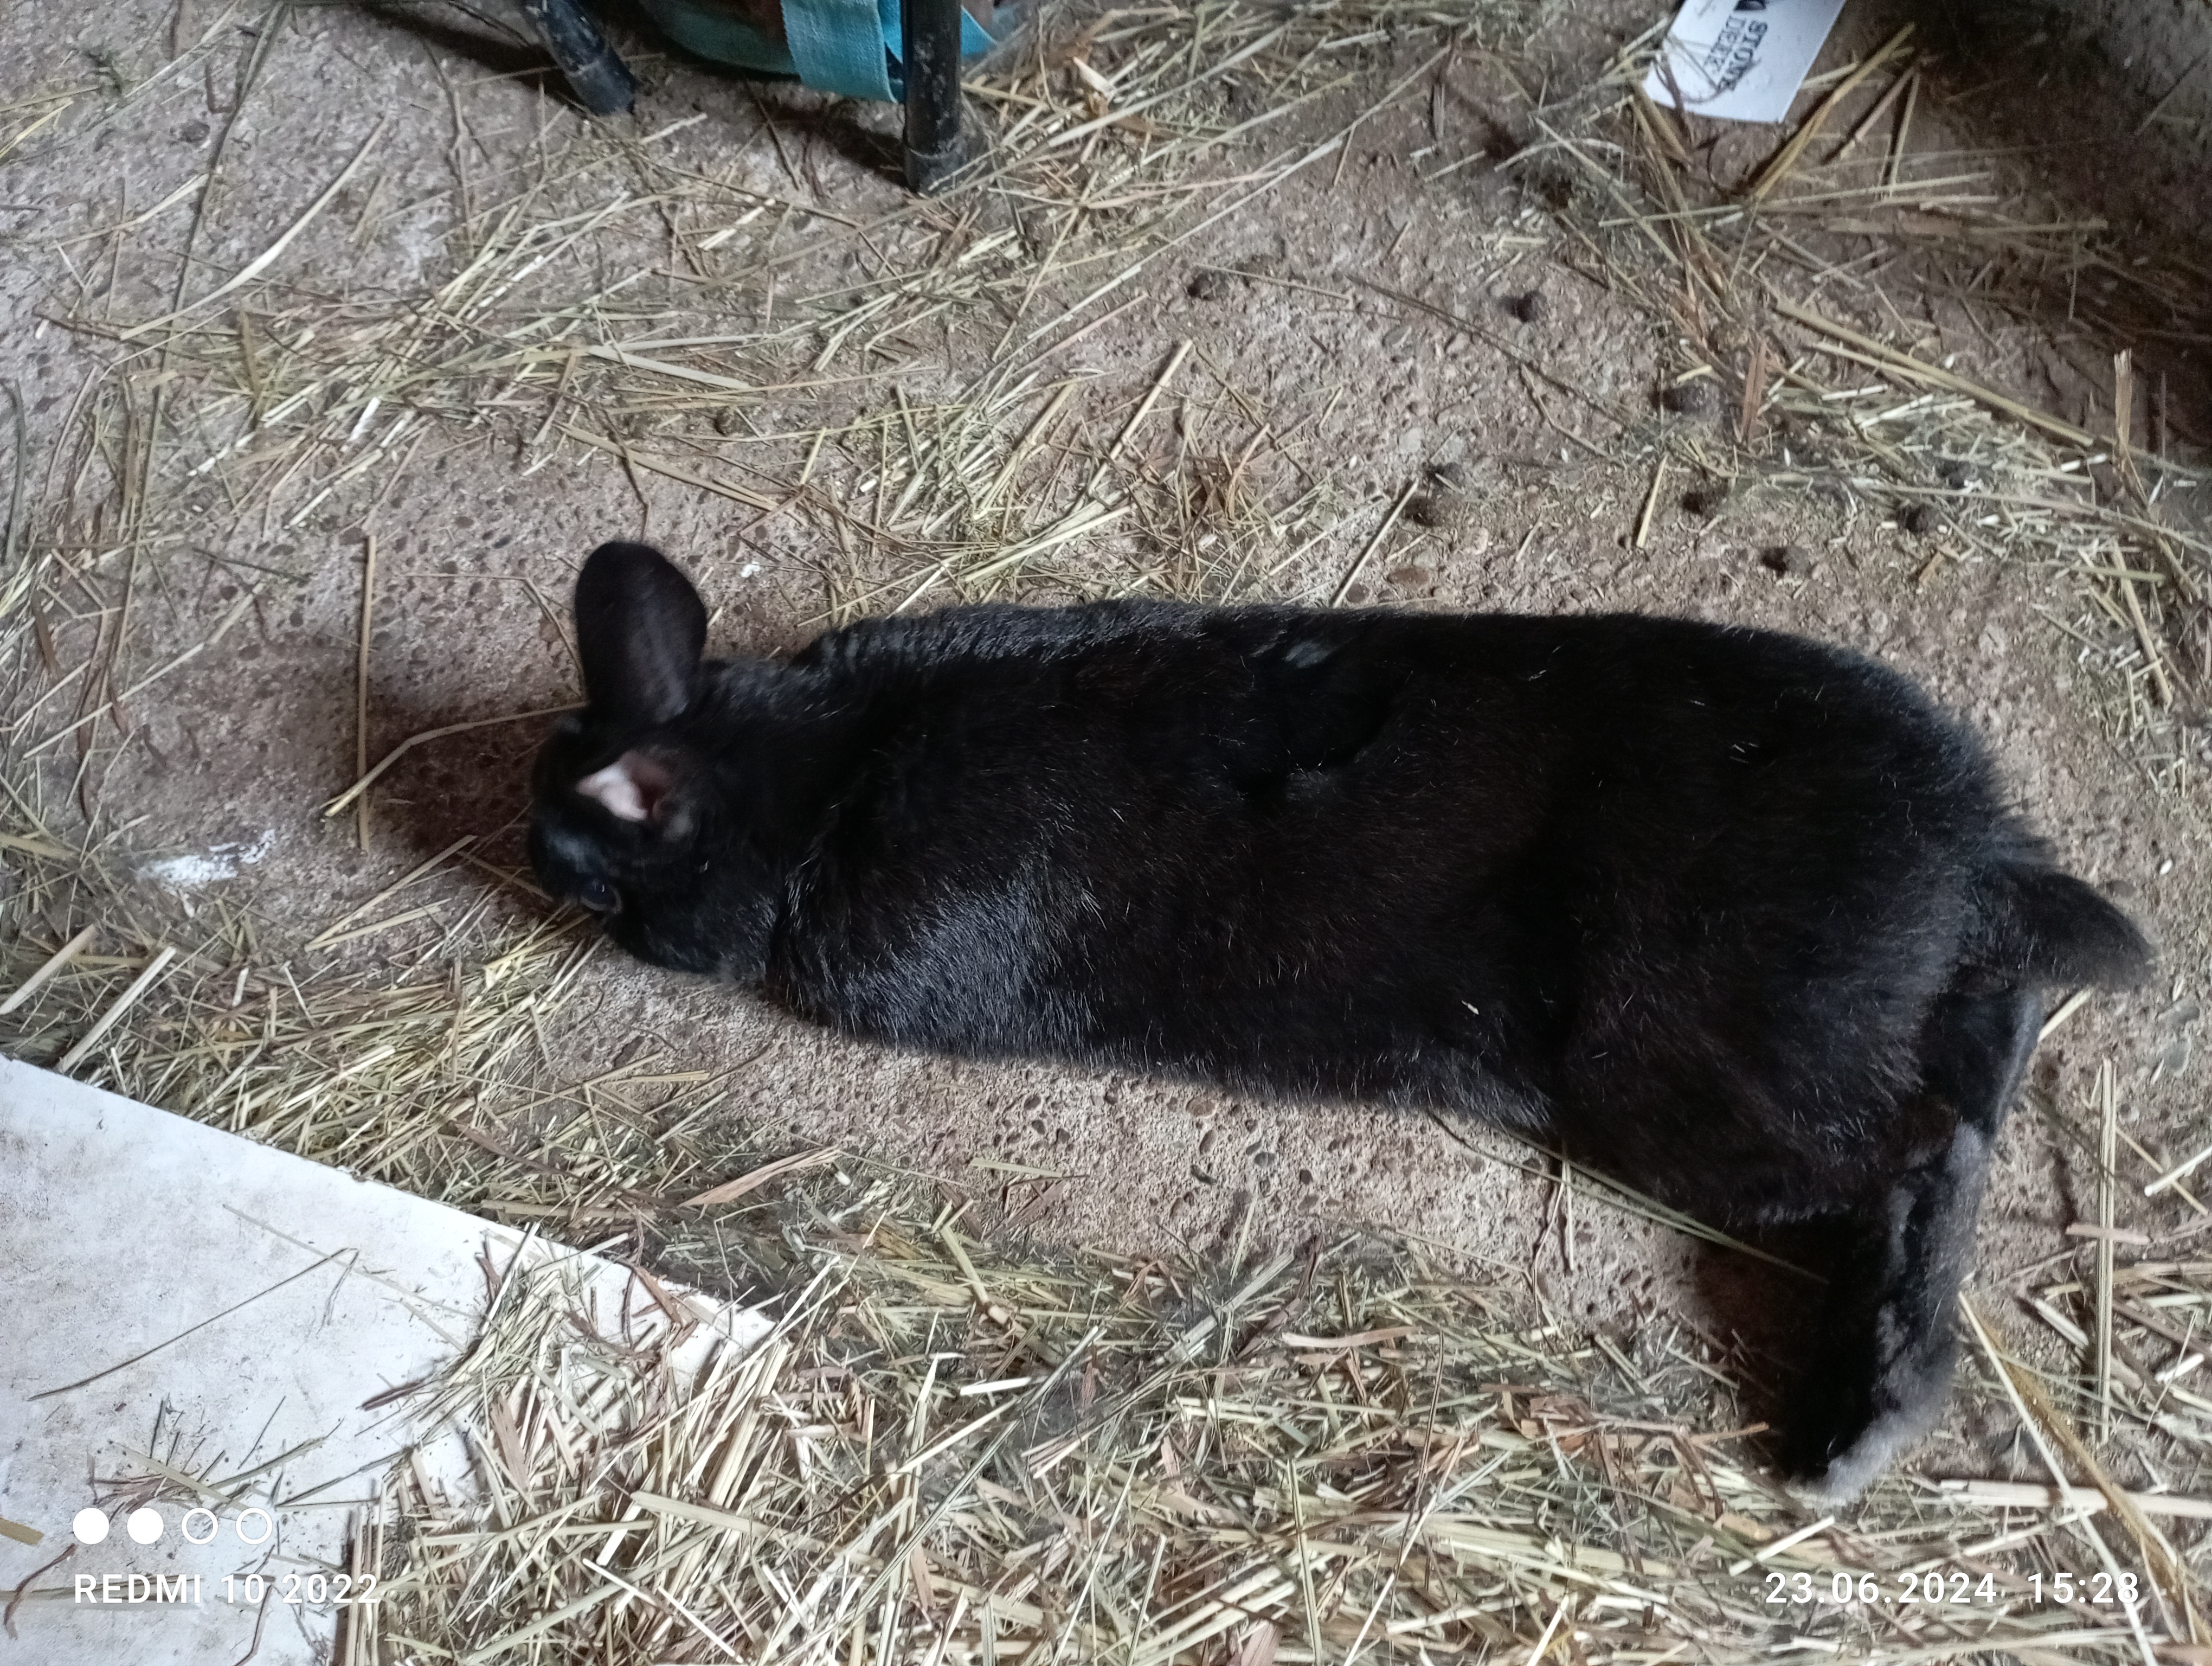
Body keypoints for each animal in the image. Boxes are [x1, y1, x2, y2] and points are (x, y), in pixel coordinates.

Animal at [529, 540, 2151, 1499]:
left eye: (582, 867)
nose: (535, 867)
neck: (815, 775)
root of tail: (1980, 858)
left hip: (1698, 1075)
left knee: (1918, 1151)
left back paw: (1853, 1430)